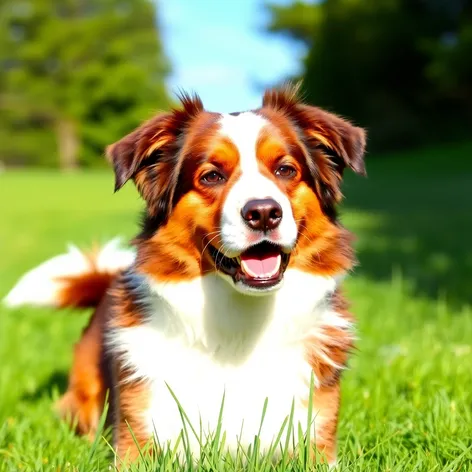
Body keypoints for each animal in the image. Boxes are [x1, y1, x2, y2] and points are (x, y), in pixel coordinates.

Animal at [4, 84, 366, 464]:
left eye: (285, 170)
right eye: (212, 176)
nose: (265, 212)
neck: (239, 329)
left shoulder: (316, 437)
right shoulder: (137, 437)